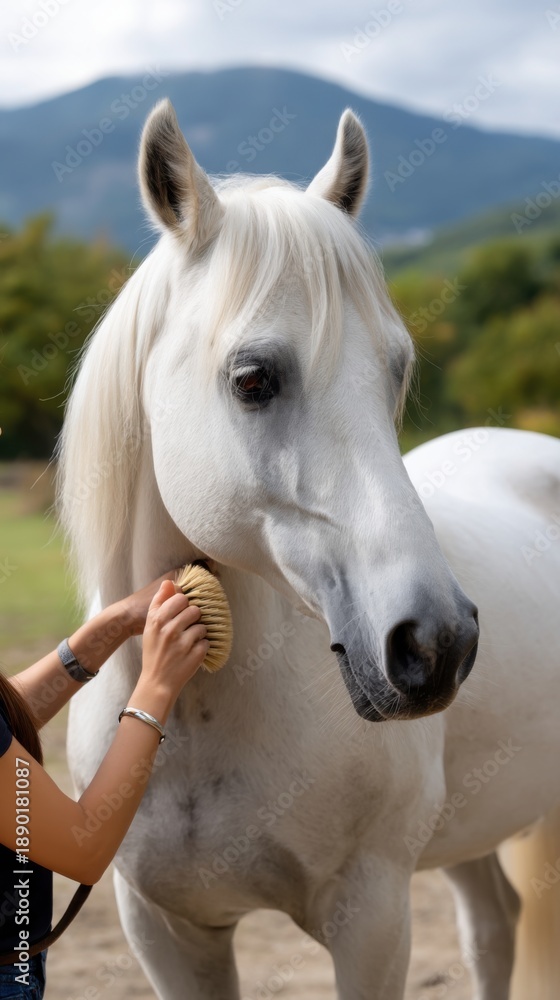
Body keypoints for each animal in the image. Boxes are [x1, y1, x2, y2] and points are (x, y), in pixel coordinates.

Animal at [58, 99, 560, 1000]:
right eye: (253, 379)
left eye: (396, 371)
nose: (436, 644)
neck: (193, 715)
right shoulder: (165, 932)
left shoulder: (371, 918)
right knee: (493, 928)